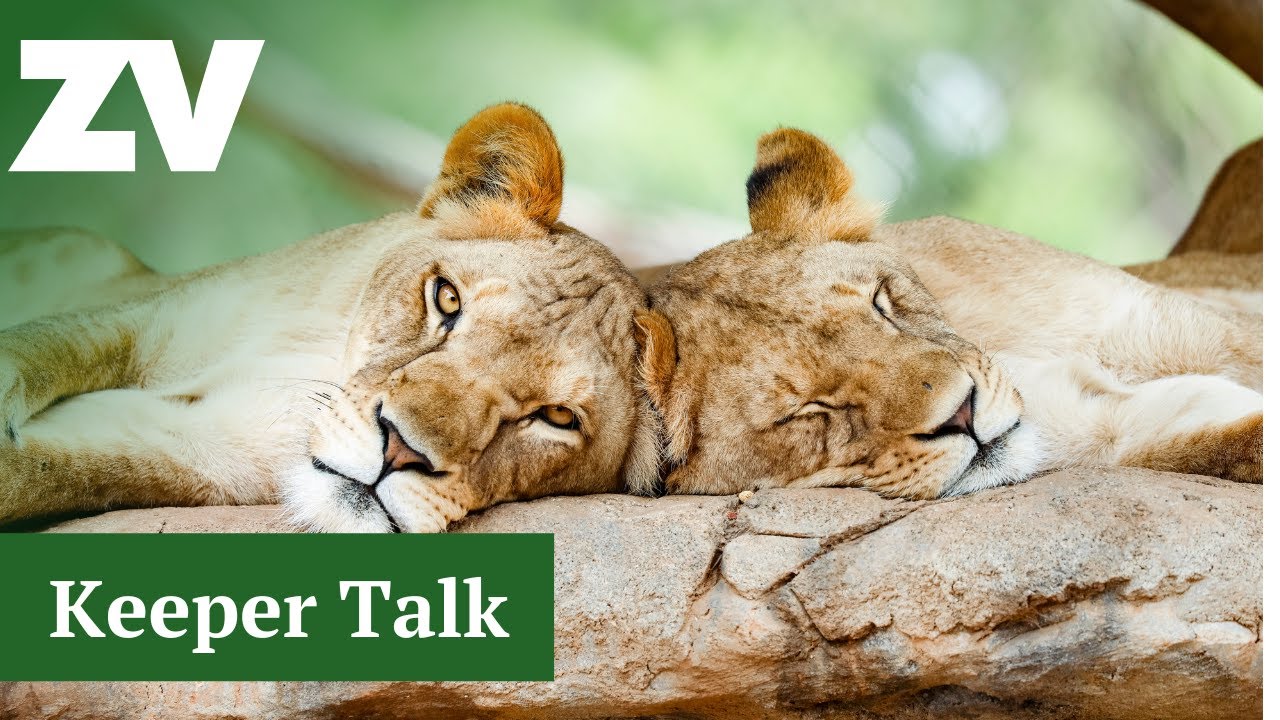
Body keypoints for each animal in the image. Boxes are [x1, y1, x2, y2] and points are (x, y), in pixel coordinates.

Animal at [0, 103, 659, 532]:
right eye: (447, 300)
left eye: (558, 417)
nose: (400, 453)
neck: (314, 358)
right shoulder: (152, 307)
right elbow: (47, 344)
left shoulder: (169, 452)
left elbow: (36, 472)